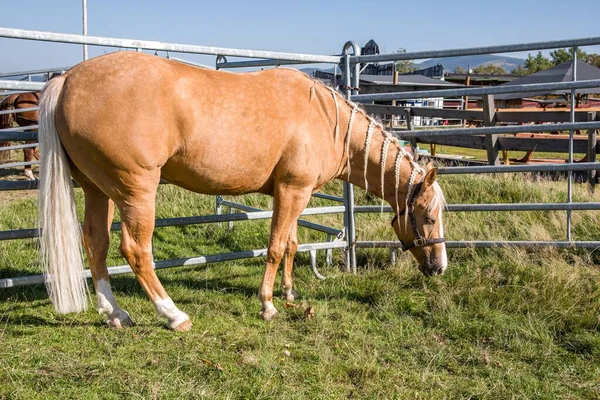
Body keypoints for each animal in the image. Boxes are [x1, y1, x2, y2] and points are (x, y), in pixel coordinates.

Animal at [37, 50, 448, 332]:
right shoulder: (292, 191)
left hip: (98, 190)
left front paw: (289, 293)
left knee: (96, 243)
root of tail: (67, 79)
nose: (440, 267)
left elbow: (293, 244)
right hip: (135, 192)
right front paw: (268, 305)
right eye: (428, 216)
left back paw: (116, 314)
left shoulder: (295, 195)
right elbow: (276, 247)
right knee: (136, 250)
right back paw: (173, 315)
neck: (326, 119)